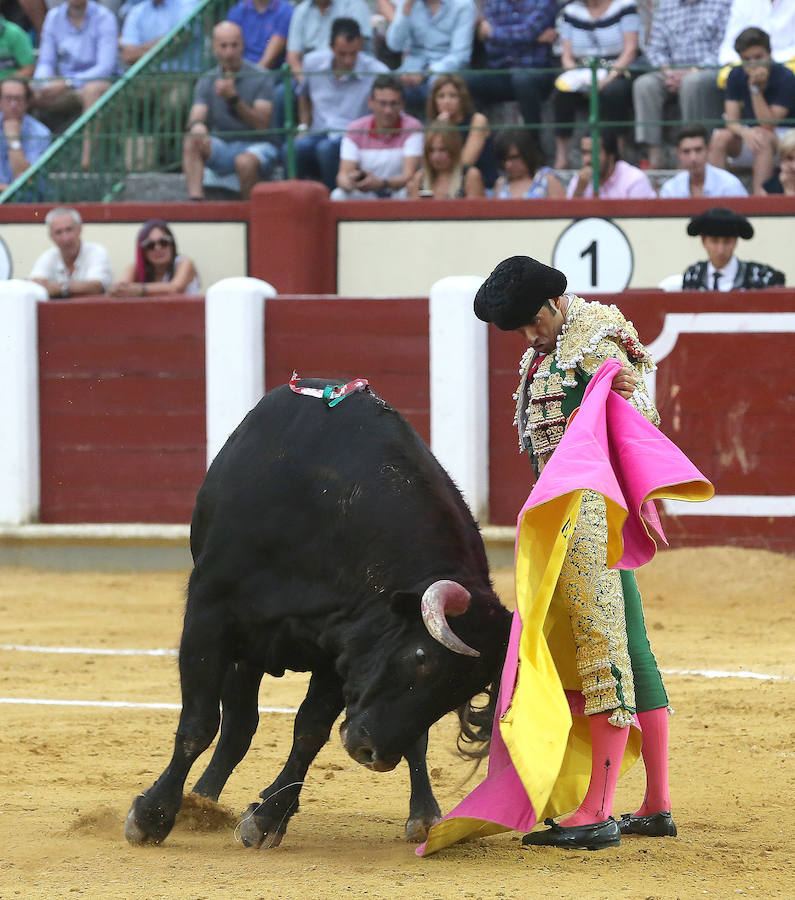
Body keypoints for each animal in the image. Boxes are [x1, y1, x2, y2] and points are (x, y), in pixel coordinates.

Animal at [124, 380, 510, 852]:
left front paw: (266, 819)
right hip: (246, 648)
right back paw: (202, 802)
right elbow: (199, 723)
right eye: (421, 658)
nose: (373, 754)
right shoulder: (209, 614)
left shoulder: (342, 646)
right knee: (236, 726)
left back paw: (423, 815)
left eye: (462, 691)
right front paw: (151, 817)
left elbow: (309, 732)